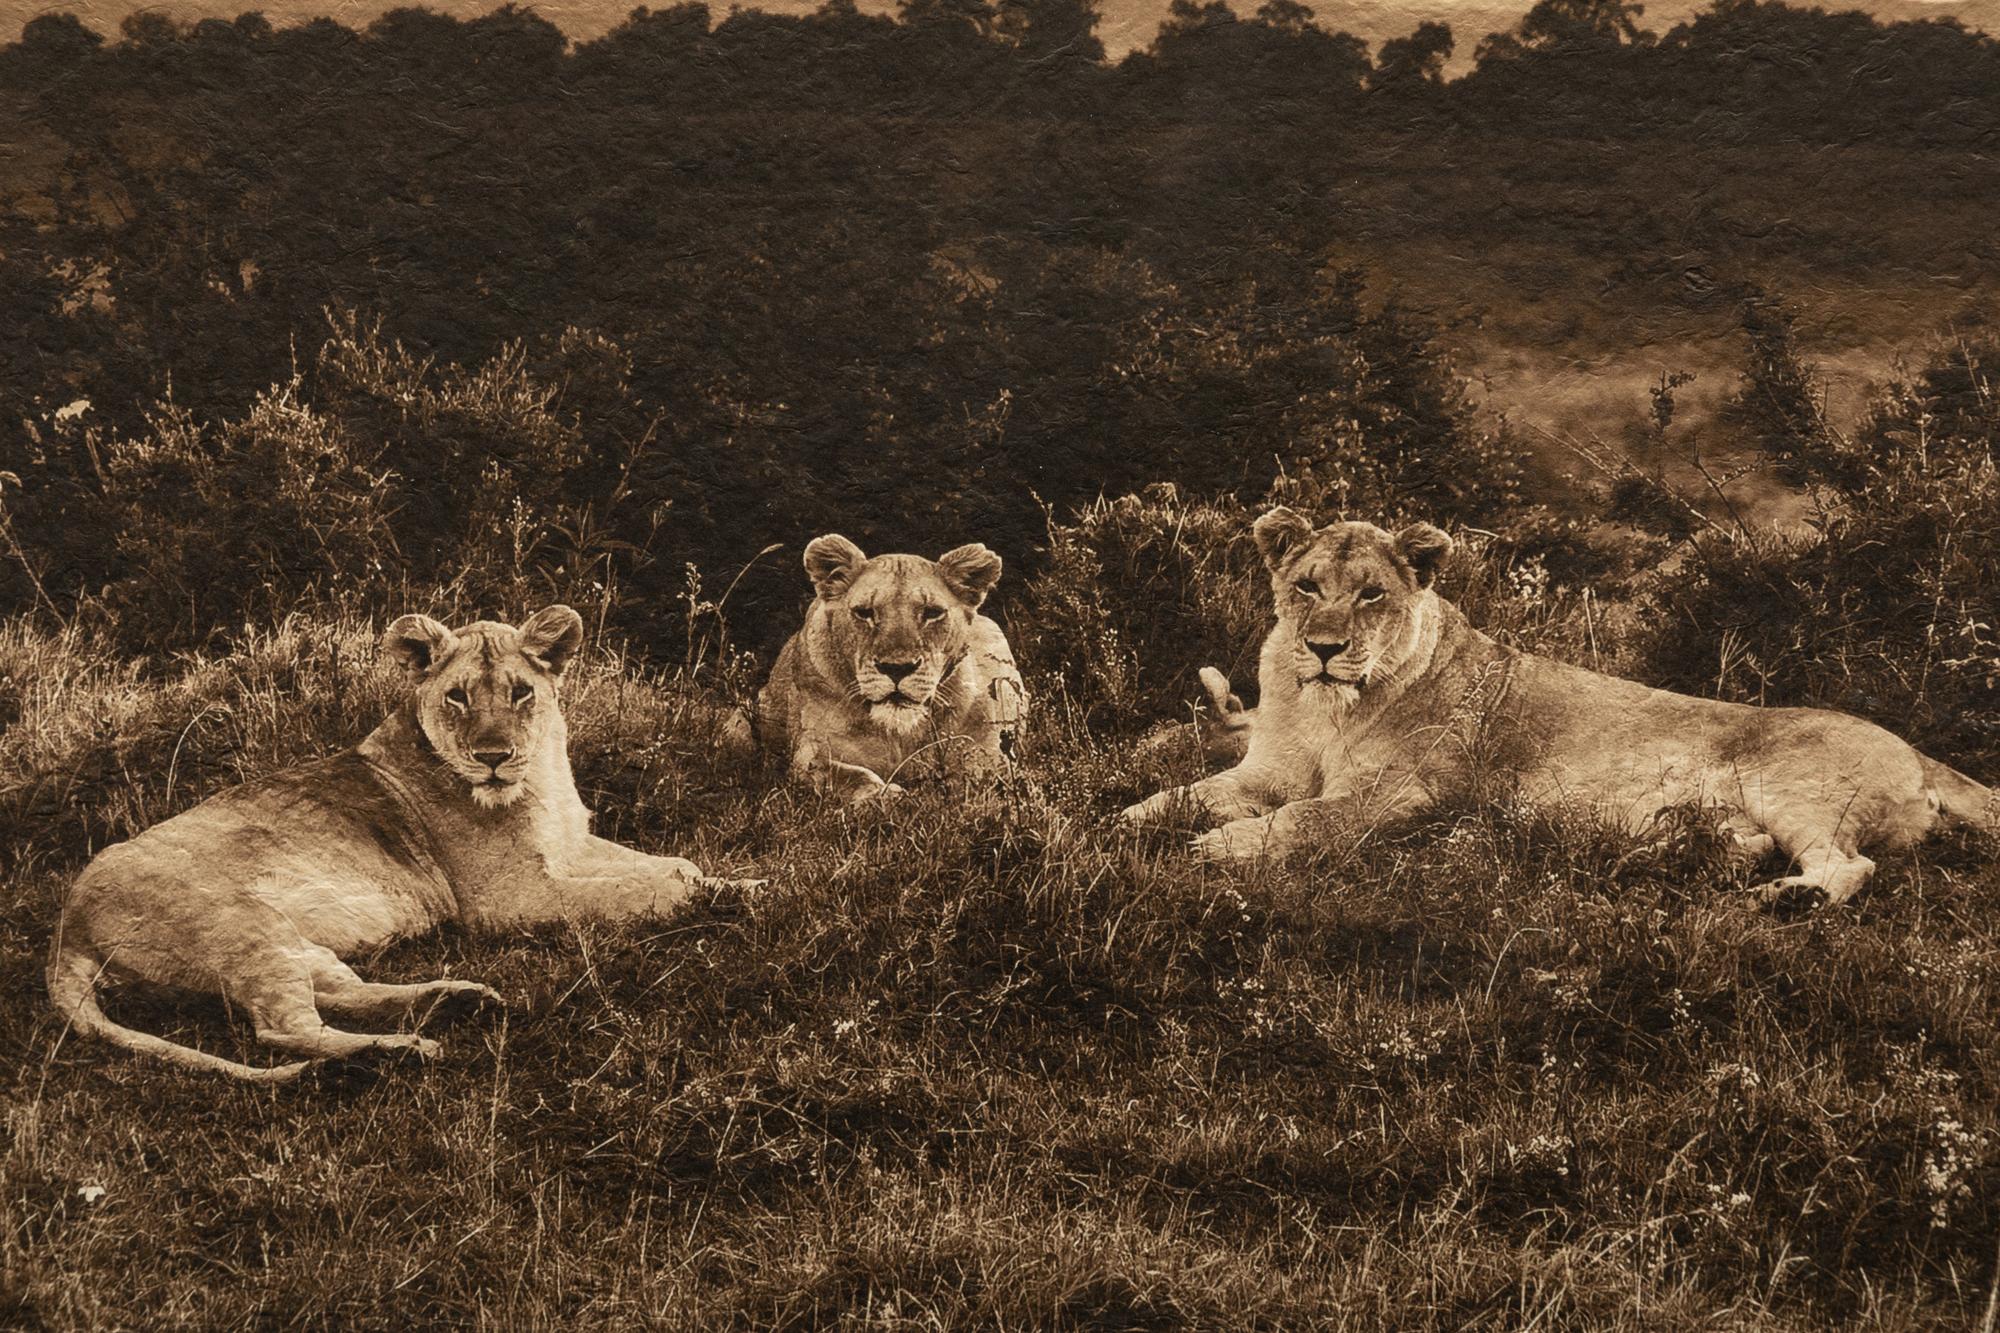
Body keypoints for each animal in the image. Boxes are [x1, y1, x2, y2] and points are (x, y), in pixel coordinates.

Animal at [48, 605, 755, 1083]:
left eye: (522, 692)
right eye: (458, 697)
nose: (493, 757)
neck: (543, 776)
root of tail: (66, 925)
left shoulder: (570, 847)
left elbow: (676, 863)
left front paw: (743, 883)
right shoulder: (508, 898)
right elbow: (641, 888)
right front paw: (711, 898)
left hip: (287, 938)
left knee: (336, 992)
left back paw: (460, 1001)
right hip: (243, 924)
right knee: (285, 1030)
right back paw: (404, 1051)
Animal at [752, 534, 1027, 801]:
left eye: (932, 613)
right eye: (864, 612)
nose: (897, 668)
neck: (899, 735)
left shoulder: (986, 748)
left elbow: (981, 774)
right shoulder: (811, 751)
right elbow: (845, 776)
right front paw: (883, 797)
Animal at [1122, 508, 1996, 904]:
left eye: (1371, 594)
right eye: (1306, 586)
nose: (1327, 648)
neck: (1324, 709)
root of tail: (1919, 751)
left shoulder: (1397, 796)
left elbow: (1303, 820)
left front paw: (1216, 850)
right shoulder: (1265, 770)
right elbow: (1184, 794)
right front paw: (1122, 825)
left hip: (1796, 787)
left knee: (1850, 863)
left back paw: (1790, 901)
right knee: (1753, 846)